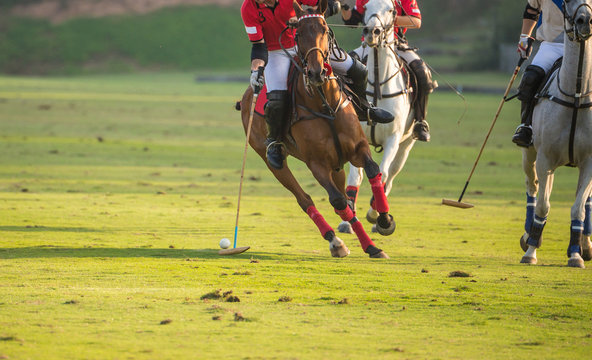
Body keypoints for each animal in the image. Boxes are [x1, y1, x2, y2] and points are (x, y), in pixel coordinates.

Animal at [238, 0, 396, 258]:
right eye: (298, 33)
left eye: (324, 29)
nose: (316, 72)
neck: (325, 104)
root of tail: (247, 95)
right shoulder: (317, 164)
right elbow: (337, 201)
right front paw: (371, 246)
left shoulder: (358, 148)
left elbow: (373, 172)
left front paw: (384, 220)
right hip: (272, 161)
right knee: (305, 199)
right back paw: (335, 242)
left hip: (337, 163)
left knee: (358, 70)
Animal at [338, 0, 416, 233]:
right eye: (364, 7)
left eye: (391, 9)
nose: (372, 31)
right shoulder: (355, 137)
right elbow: (355, 177)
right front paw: (347, 220)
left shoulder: (393, 139)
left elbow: (383, 173)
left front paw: (378, 215)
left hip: (407, 144)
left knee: (391, 174)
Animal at [520, 0, 588, 268]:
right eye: (567, 1)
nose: (584, 20)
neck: (577, 96)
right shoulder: (545, 159)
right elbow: (543, 206)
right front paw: (531, 250)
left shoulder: (590, 163)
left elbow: (578, 208)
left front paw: (576, 254)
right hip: (530, 154)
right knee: (533, 187)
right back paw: (528, 235)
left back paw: (585, 245)